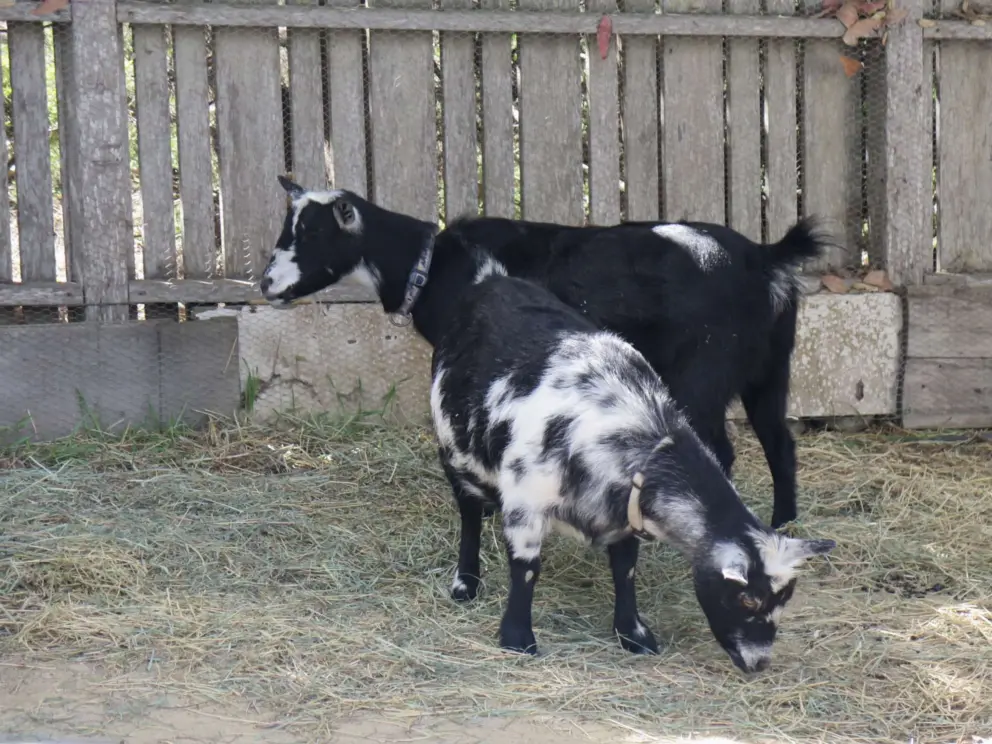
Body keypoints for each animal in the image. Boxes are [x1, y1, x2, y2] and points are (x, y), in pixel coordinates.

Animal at [261, 176, 833, 529]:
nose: (266, 284)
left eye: (311, 232)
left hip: (705, 371)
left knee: (723, 450)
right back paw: (784, 523)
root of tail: (765, 258)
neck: (438, 265)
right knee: (780, 443)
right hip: (769, 369)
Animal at [429, 271, 835, 669]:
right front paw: (517, 639)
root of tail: (492, 281)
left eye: (783, 601)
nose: (759, 663)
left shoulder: (624, 507)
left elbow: (625, 568)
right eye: (748, 599)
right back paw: (466, 583)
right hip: (454, 452)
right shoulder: (525, 504)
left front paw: (633, 634)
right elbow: (526, 569)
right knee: (469, 513)